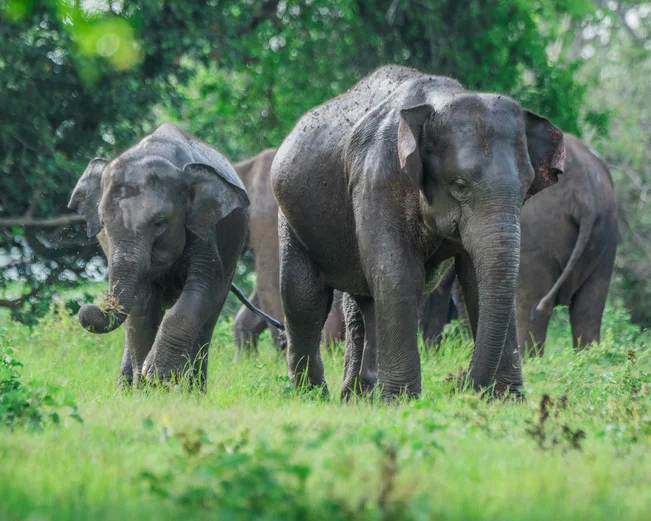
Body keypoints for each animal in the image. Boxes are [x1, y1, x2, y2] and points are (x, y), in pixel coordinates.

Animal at [68, 123, 282, 389]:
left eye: (160, 223)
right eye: (103, 225)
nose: (87, 308)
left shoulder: (205, 228)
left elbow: (203, 286)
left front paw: (160, 377)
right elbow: (142, 304)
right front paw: (148, 386)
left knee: (209, 315)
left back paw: (193, 390)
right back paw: (128, 388)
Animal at [271, 65, 565, 399]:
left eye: (526, 187)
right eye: (459, 185)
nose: (460, 384)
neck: (440, 101)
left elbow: (474, 279)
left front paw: (507, 400)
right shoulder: (377, 177)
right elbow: (398, 273)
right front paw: (401, 401)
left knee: (361, 301)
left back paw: (358, 395)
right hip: (291, 217)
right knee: (303, 298)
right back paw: (312, 395)